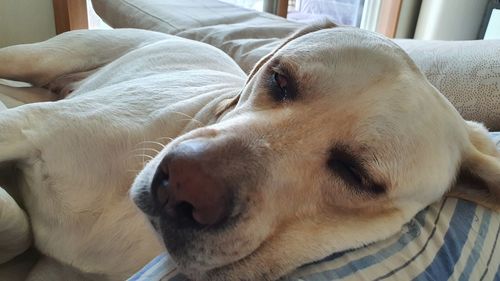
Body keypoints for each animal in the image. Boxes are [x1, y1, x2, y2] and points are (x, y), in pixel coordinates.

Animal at [0, 22, 498, 280]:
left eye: (358, 176)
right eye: (279, 78)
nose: (182, 187)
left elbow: (18, 225)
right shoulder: (25, 126)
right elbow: (16, 219)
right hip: (39, 57)